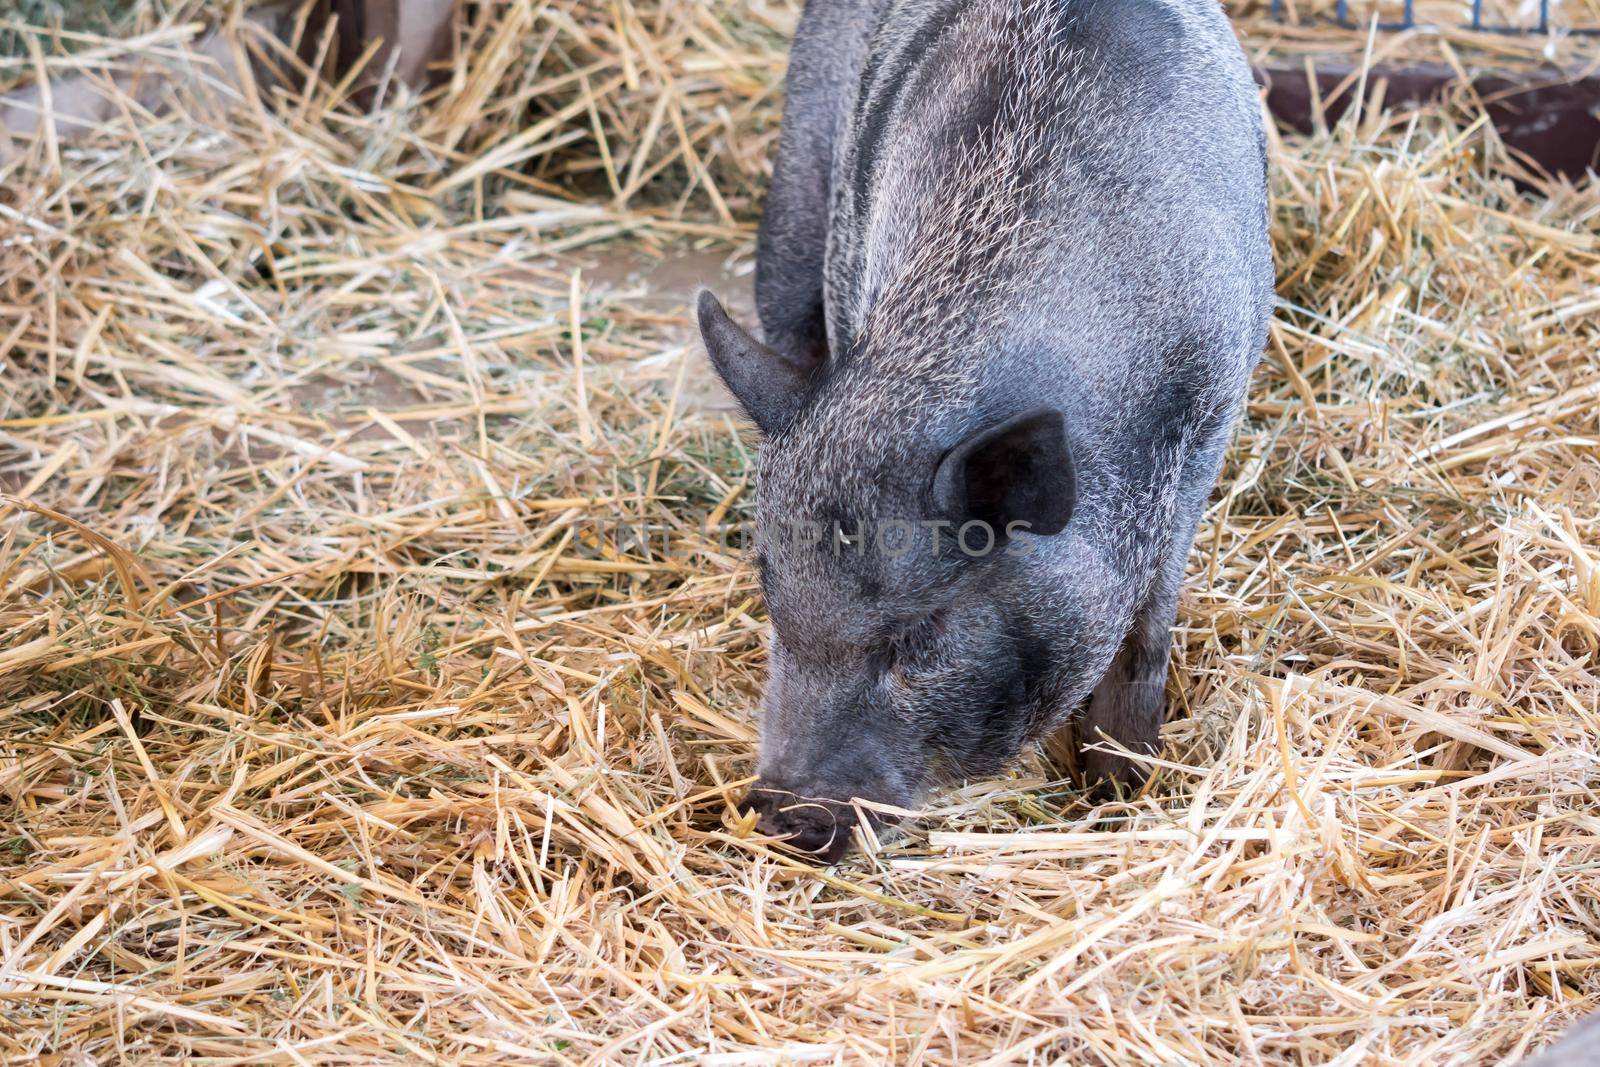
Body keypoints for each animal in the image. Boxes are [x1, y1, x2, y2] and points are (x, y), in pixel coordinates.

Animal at [700, 0, 1273, 857]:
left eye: (919, 636)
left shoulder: (1210, 421)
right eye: (772, 597)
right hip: (796, 215)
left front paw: (1121, 790)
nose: (780, 816)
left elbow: (1148, 627)